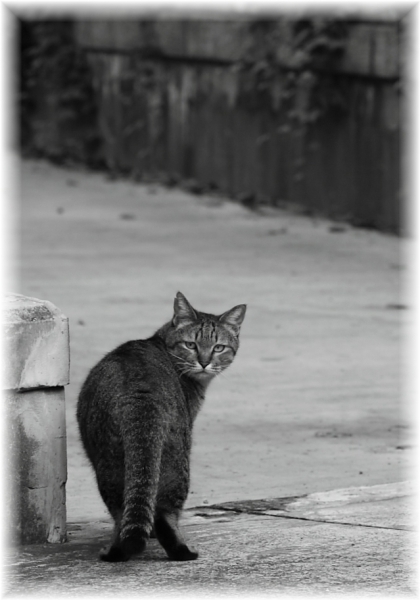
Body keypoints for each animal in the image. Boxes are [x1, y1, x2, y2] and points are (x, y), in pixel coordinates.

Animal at [76, 290, 246, 564]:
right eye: (191, 345)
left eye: (218, 347)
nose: (204, 362)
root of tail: (142, 398)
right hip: (173, 462)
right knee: (162, 514)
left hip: (115, 466)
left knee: (129, 512)